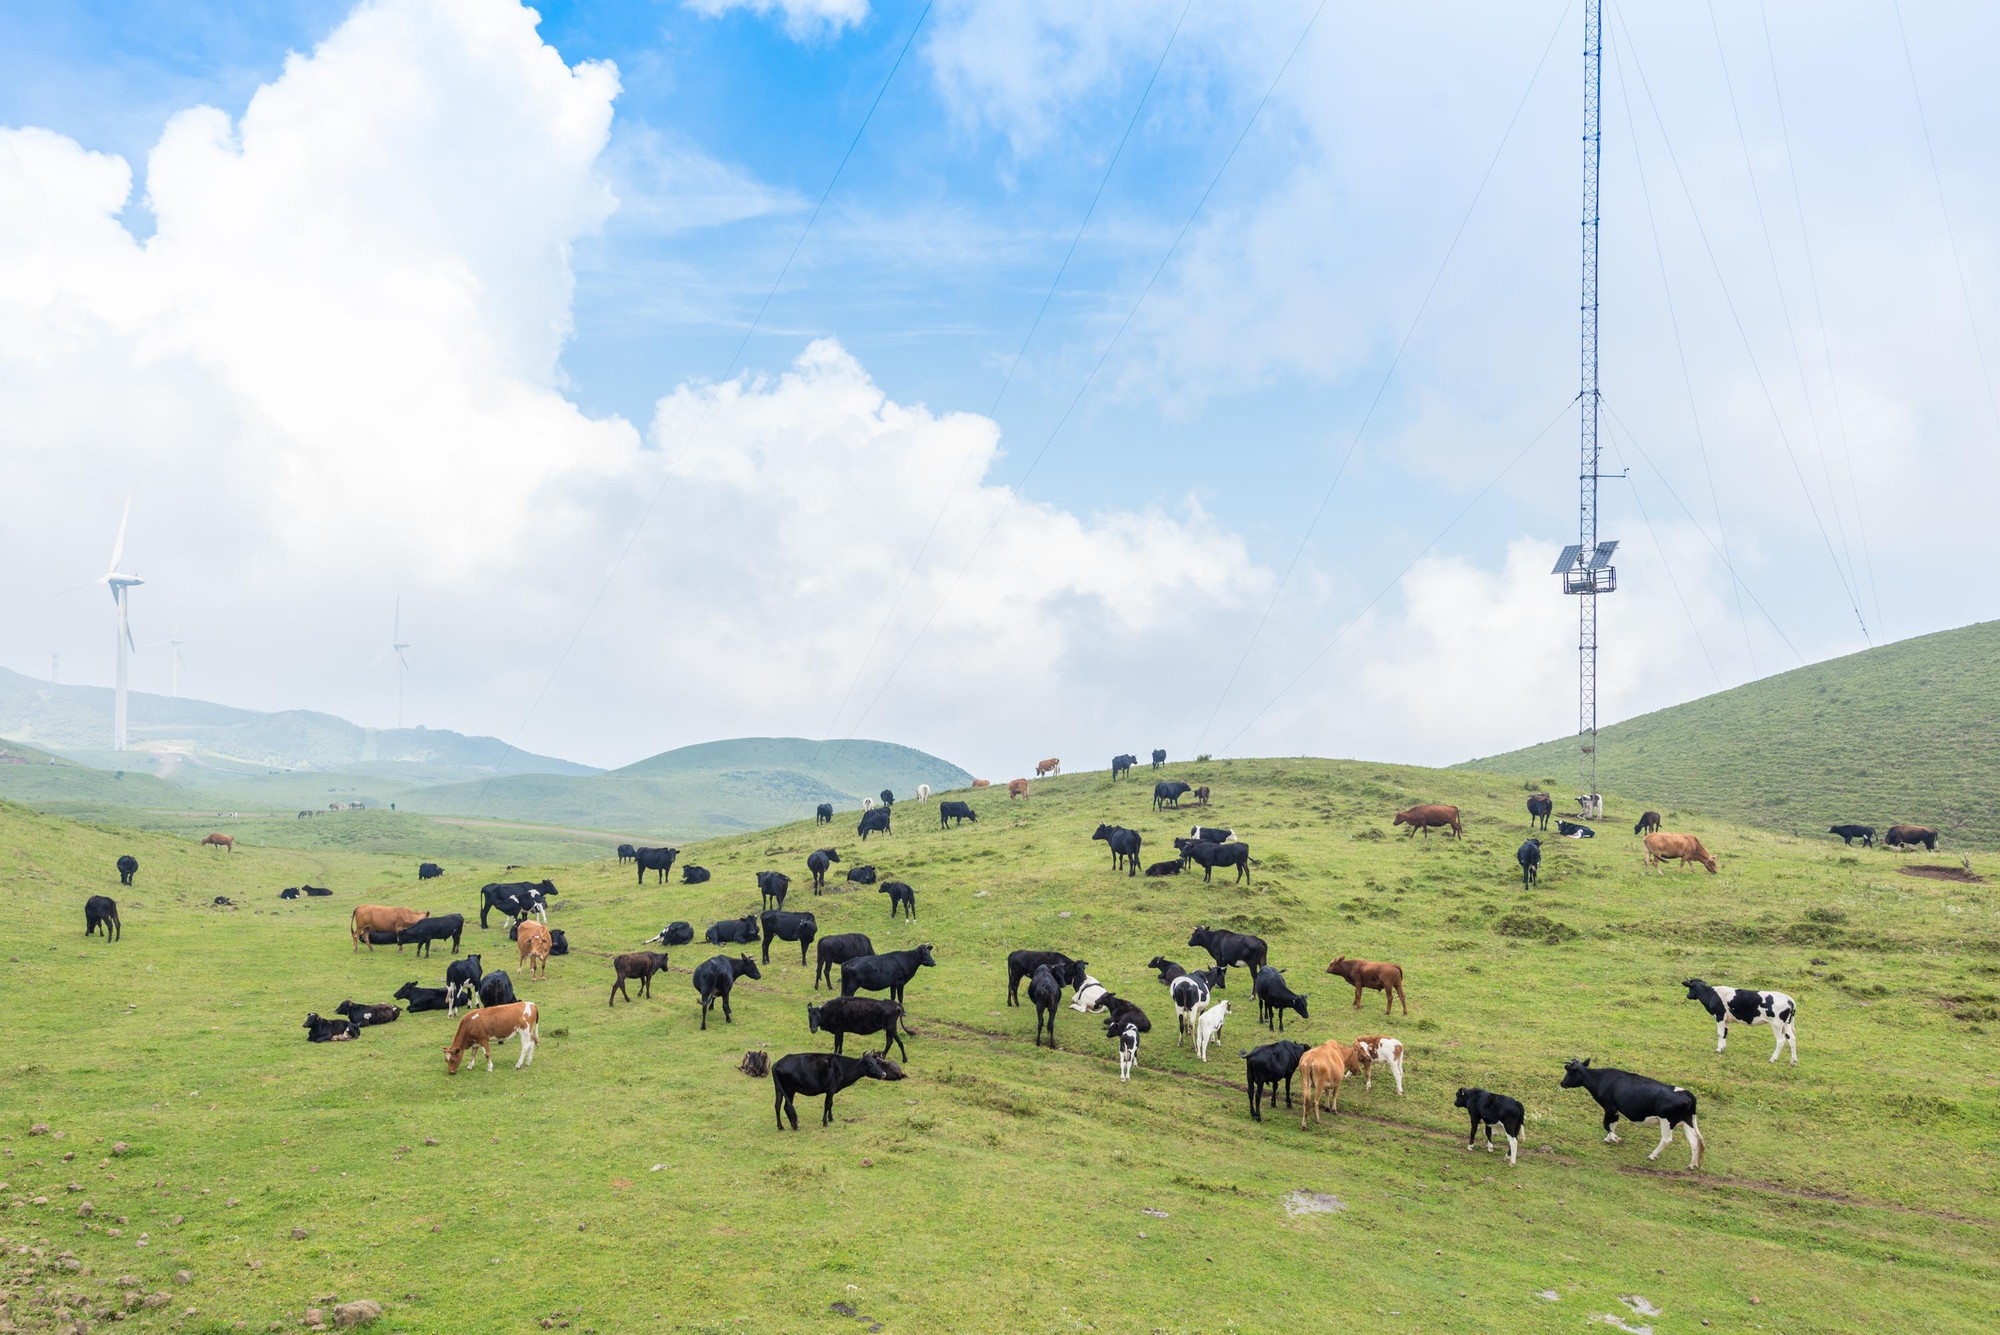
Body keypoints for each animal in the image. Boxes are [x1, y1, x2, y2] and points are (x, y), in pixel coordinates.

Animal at [768, 1055, 904, 1127]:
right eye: (870, 1064)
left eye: (877, 1062)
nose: (883, 1074)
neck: (842, 1068)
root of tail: (778, 1062)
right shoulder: (830, 1089)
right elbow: (827, 1104)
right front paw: (825, 1122)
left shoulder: (832, 1090)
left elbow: (831, 1104)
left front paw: (831, 1118)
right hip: (789, 1090)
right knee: (786, 1106)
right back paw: (794, 1125)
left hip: (779, 1089)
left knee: (777, 1105)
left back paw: (780, 1126)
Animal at [1560, 1063, 1704, 1167]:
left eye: (1568, 1072)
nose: (1562, 1083)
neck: (1602, 1080)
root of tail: (1686, 1093)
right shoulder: (1616, 1111)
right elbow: (1612, 1125)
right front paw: (1608, 1139)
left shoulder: (1609, 1108)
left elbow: (1606, 1125)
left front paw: (1616, 1139)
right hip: (1687, 1121)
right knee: (1694, 1141)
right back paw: (1692, 1165)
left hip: (1667, 1121)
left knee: (1666, 1139)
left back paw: (1652, 1156)